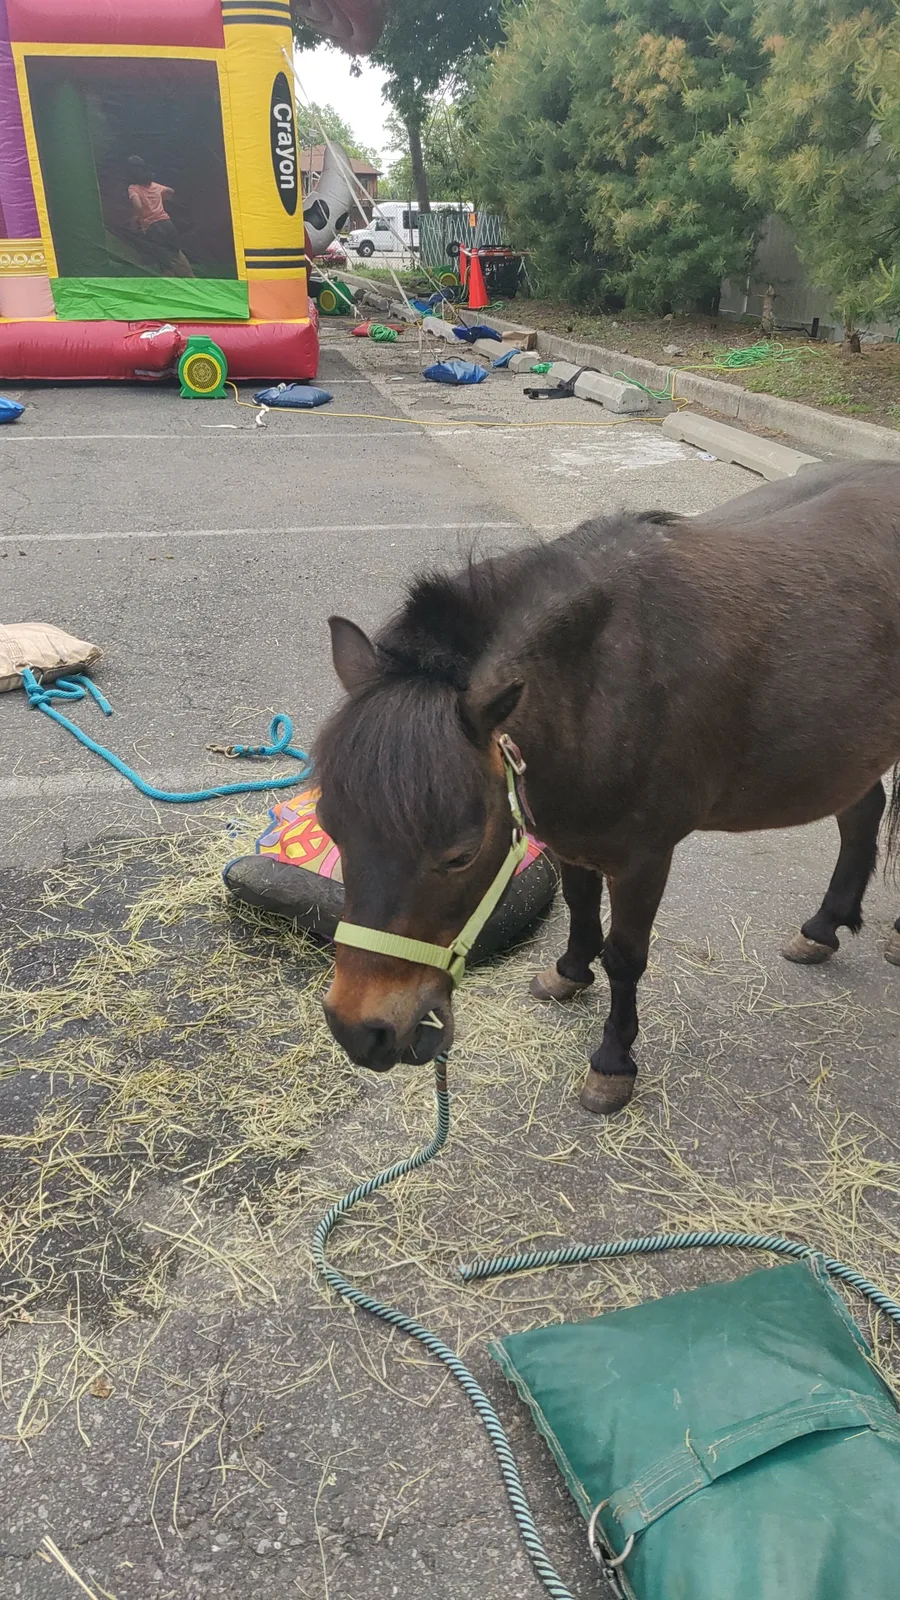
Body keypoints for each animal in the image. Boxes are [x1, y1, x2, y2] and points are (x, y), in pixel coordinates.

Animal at [315, 462, 900, 1116]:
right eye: (330, 828)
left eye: (461, 855)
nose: (360, 1031)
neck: (601, 684)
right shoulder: (570, 833)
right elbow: (578, 903)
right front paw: (570, 972)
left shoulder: (645, 858)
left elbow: (625, 956)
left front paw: (613, 1062)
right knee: (861, 814)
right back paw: (823, 928)